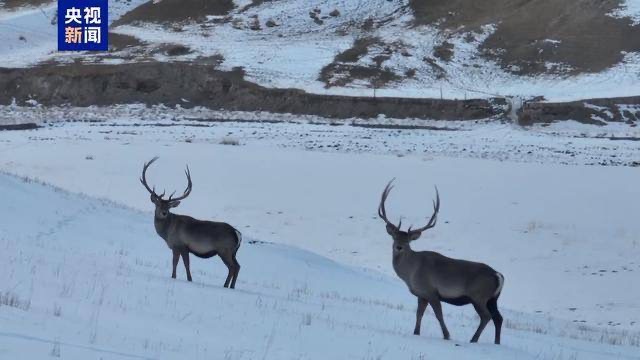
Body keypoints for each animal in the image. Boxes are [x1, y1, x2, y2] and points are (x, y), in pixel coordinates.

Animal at [140, 158, 242, 290]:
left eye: (168, 206)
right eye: (158, 204)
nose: (164, 212)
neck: (167, 233)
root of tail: (237, 233)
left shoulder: (180, 245)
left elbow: (181, 264)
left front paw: (183, 278)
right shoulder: (181, 248)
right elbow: (180, 263)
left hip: (224, 250)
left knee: (233, 267)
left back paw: (226, 286)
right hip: (233, 252)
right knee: (238, 266)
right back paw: (231, 286)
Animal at [376, 179, 504, 344]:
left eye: (408, 240)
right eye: (395, 237)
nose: (399, 247)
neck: (410, 273)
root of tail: (498, 275)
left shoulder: (431, 292)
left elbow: (438, 315)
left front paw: (447, 336)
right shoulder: (422, 294)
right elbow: (419, 314)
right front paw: (416, 333)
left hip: (479, 295)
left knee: (486, 316)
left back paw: (473, 340)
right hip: (493, 298)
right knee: (498, 318)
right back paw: (496, 342)